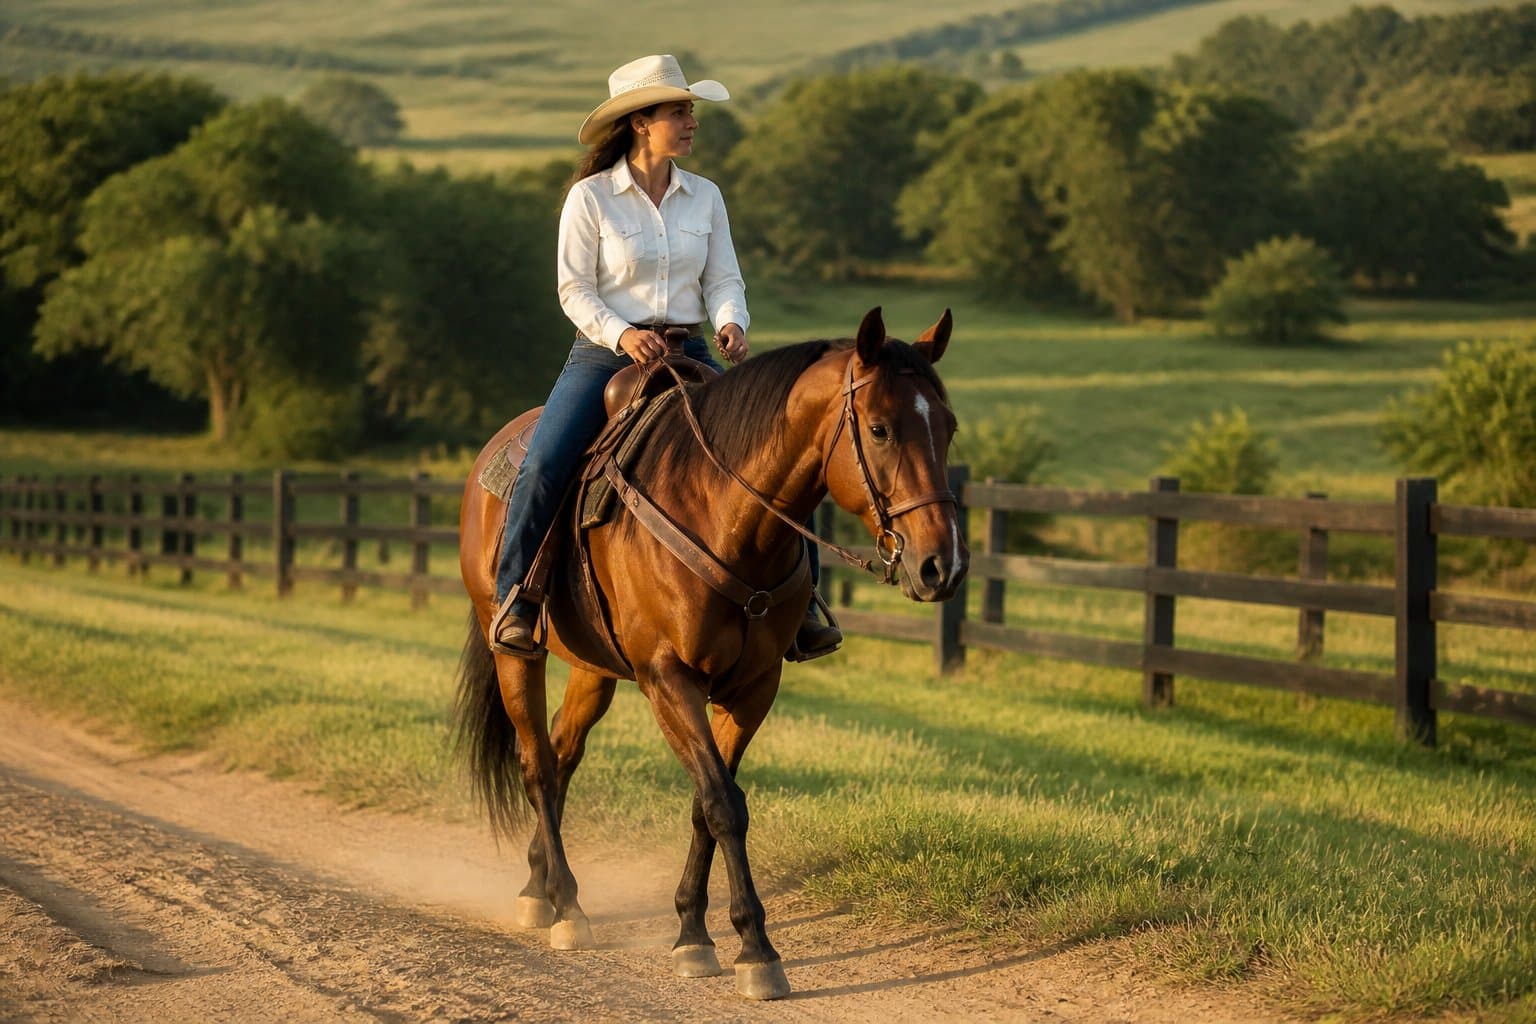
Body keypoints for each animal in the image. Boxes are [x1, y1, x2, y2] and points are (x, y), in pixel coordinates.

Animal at [452, 306, 967, 1000]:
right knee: (536, 765)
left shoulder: (754, 687)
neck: (725, 515)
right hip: (515, 651)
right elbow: (723, 803)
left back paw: (538, 886)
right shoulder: (669, 679)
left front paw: (693, 932)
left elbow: (707, 803)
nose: (942, 564)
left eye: (948, 427)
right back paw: (566, 907)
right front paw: (754, 948)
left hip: (592, 669)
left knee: (561, 757)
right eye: (881, 429)